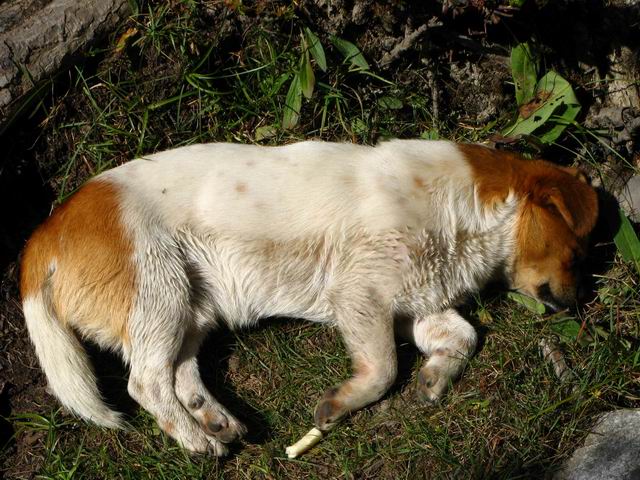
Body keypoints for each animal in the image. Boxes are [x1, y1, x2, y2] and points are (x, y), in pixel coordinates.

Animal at [20, 140, 598, 456]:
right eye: (576, 252)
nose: (576, 304)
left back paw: (214, 419)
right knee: (145, 382)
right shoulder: (361, 295)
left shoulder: (416, 302)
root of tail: (47, 230)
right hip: (159, 291)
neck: (461, 209)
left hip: (193, 307)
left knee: (180, 374)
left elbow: (463, 335)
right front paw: (341, 404)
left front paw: (434, 379)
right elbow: (384, 368)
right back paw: (196, 440)